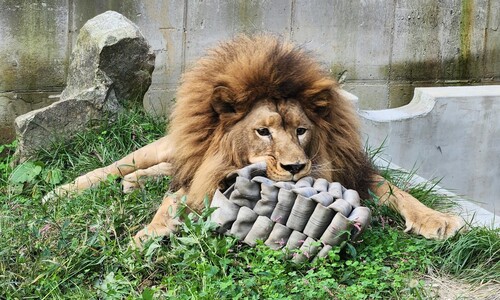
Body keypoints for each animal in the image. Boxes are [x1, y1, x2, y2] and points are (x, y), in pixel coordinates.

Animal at [46, 35, 460, 246]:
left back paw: (133, 183)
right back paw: (62, 191)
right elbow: (173, 198)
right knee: (119, 165)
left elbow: (396, 189)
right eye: (263, 131)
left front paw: (436, 219)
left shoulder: (353, 169)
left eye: (301, 130)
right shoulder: (202, 171)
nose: (295, 168)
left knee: (160, 170)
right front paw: (150, 231)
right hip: (163, 147)